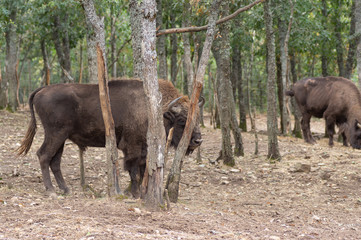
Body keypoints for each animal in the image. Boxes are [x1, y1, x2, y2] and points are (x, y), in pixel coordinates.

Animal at [17, 79, 202, 197]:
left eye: (197, 118)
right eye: (181, 120)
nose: (198, 141)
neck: (155, 111)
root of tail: (41, 90)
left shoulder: (144, 150)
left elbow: (142, 170)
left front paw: (140, 193)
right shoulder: (132, 147)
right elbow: (134, 171)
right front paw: (134, 193)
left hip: (61, 138)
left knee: (54, 161)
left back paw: (66, 189)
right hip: (55, 134)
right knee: (43, 155)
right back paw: (51, 191)